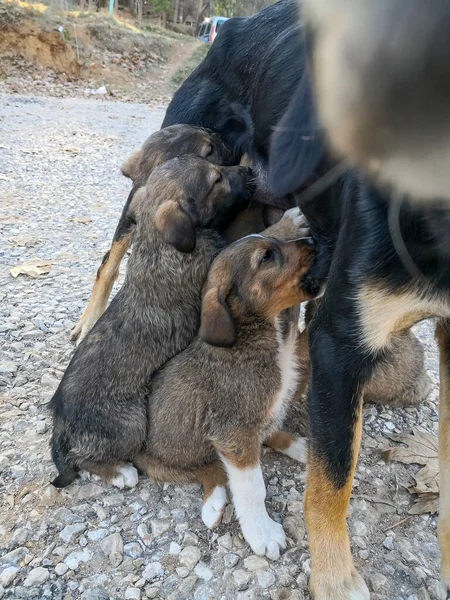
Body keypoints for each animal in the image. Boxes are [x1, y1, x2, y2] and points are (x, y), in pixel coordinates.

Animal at [51, 154, 253, 488]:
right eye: (216, 179)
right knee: (84, 458)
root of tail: (61, 423)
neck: (156, 241)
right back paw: (119, 472)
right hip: (132, 422)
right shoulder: (213, 262)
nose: (249, 170)